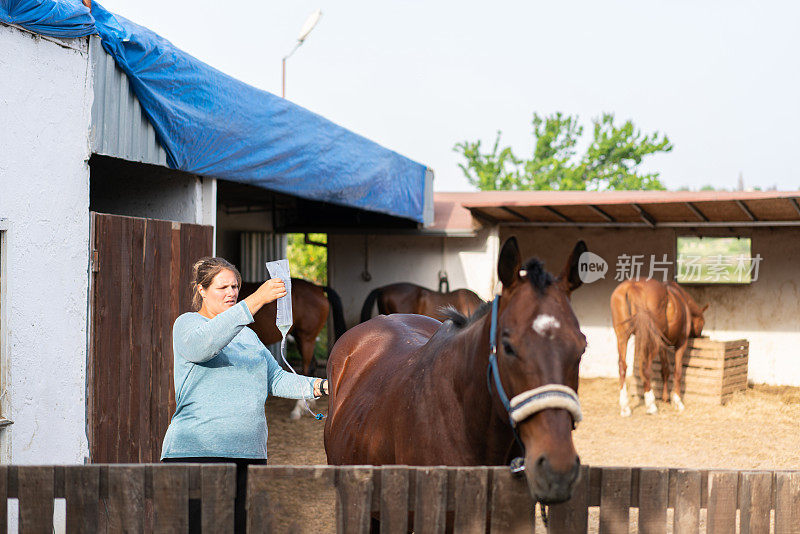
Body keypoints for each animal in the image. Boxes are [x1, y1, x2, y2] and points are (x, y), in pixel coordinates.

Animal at [612, 280, 708, 418]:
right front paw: (677, 401)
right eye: (703, 322)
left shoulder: (662, 344)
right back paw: (651, 405)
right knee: (645, 367)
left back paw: (625, 407)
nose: (700, 335)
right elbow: (677, 372)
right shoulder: (681, 344)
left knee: (622, 367)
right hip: (650, 341)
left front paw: (665, 398)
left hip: (623, 337)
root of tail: (633, 285)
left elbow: (665, 370)